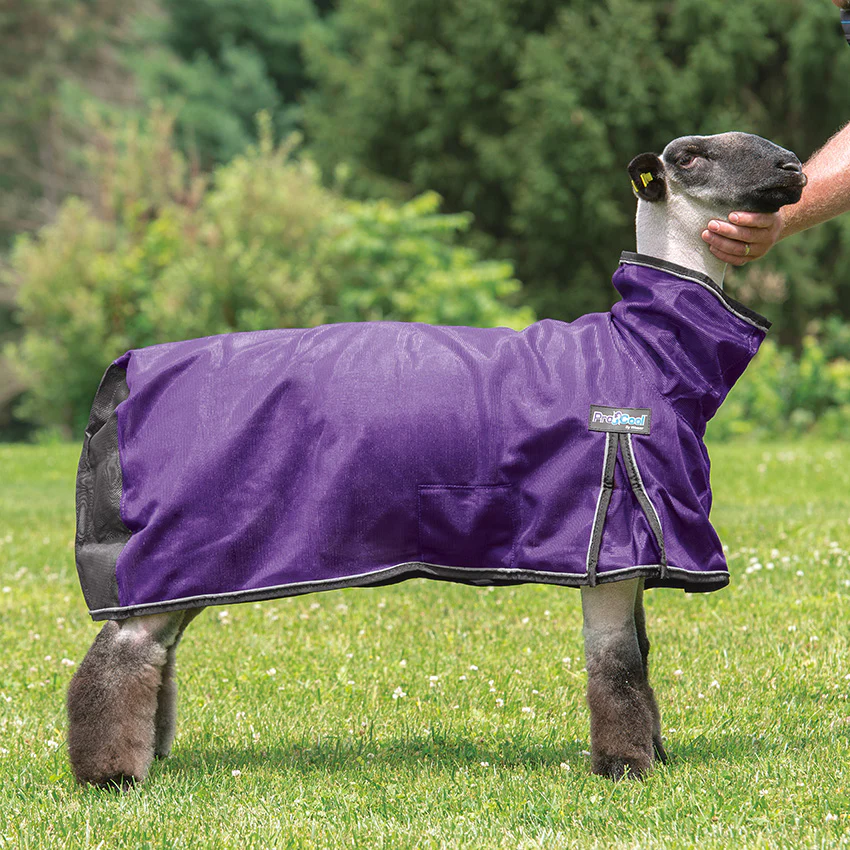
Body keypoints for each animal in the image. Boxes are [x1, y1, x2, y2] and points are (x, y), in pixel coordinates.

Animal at [67, 132, 806, 787]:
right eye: (691, 156)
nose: (794, 167)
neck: (646, 350)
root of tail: (128, 375)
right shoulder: (611, 537)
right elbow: (618, 666)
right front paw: (627, 769)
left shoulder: (637, 547)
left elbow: (642, 659)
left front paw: (654, 754)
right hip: (179, 543)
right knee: (121, 654)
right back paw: (109, 775)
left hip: (194, 562)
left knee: (156, 650)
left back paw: (150, 754)